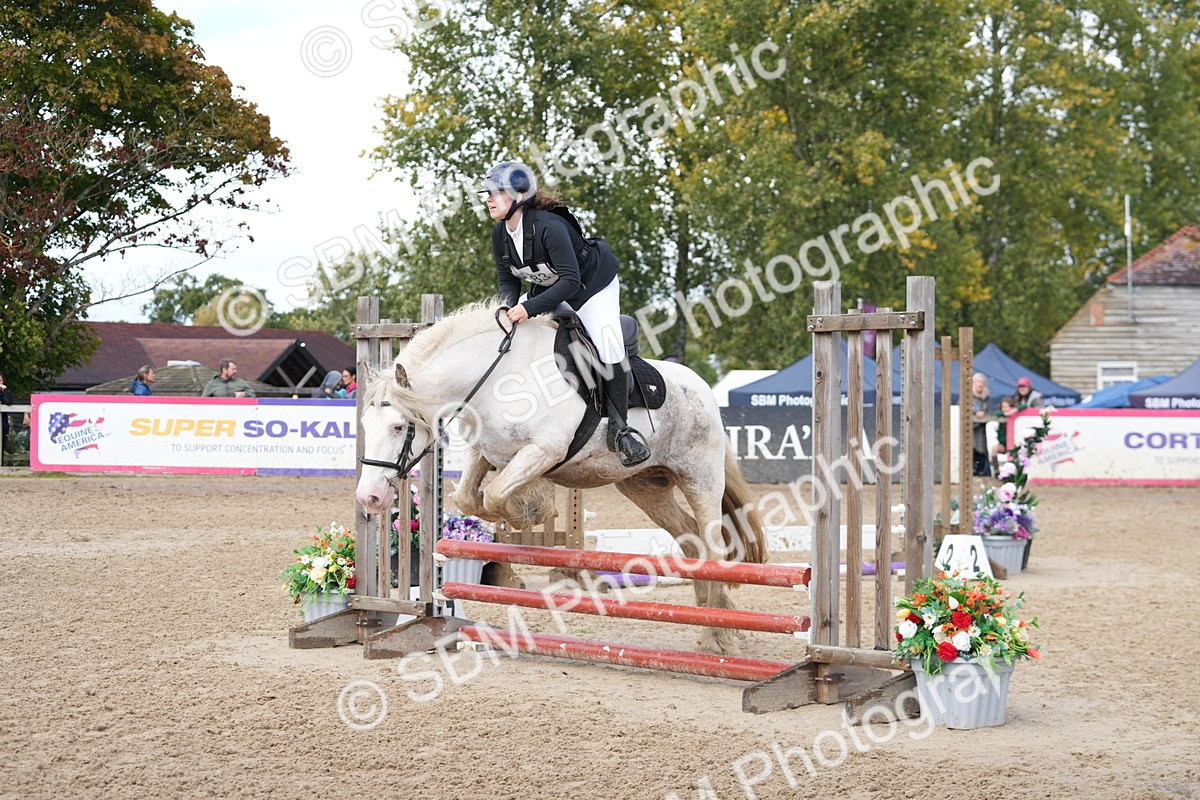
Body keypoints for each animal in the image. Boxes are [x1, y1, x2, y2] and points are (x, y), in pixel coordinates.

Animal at [355, 299, 767, 654]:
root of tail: (704, 390)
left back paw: (715, 635)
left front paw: (532, 510)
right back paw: (712, 618)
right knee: (692, 542)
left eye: (398, 427)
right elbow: (470, 498)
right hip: (644, 487)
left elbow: (495, 495)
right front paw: (524, 510)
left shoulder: (543, 451)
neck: (498, 376)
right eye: (364, 425)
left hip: (699, 478)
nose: (368, 498)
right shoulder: (483, 453)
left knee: (713, 546)